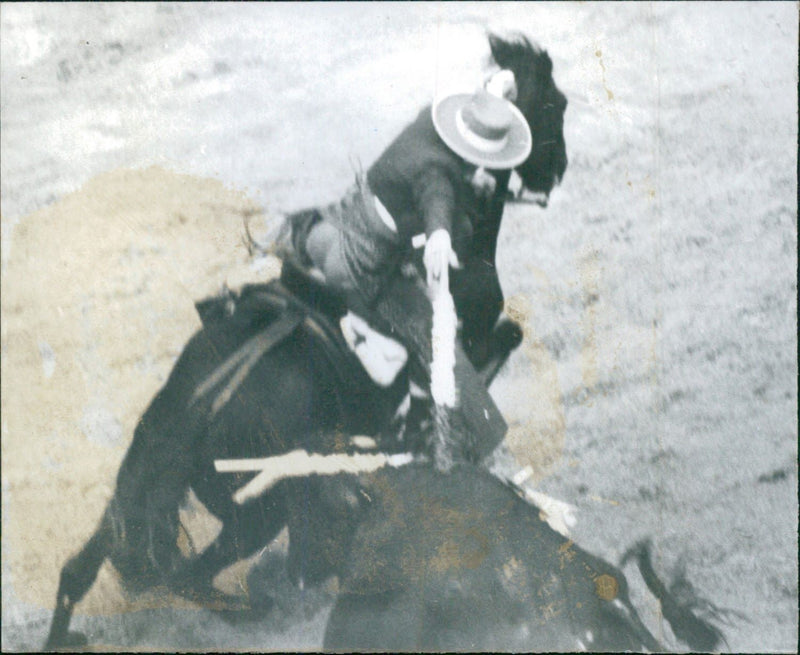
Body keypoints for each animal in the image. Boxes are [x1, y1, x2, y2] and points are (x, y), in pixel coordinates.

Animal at [45, 33, 568, 648]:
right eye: (556, 104)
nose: (559, 169)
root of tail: (200, 405)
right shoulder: (473, 342)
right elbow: (502, 343)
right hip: (256, 514)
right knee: (187, 574)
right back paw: (259, 606)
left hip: (142, 477)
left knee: (81, 569)